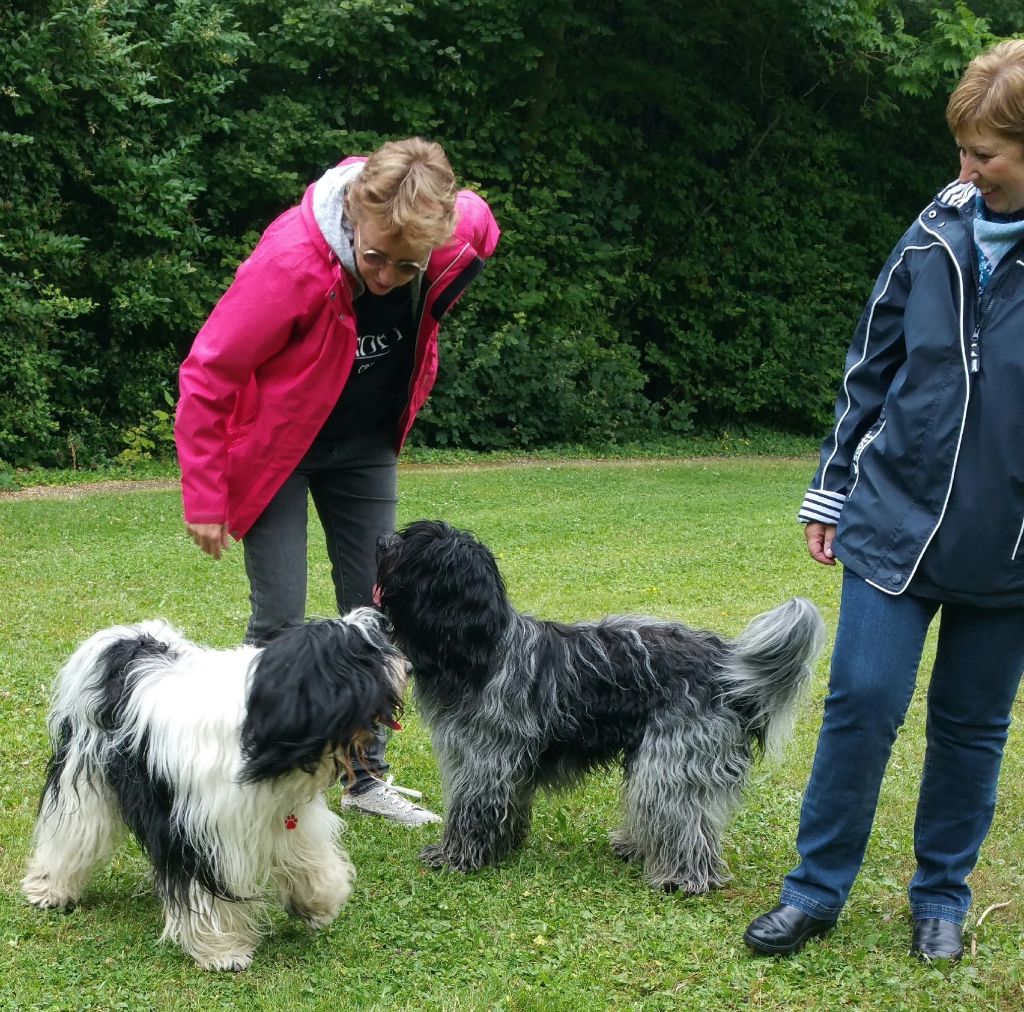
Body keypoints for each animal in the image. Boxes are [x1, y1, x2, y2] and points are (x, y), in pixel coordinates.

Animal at [22, 610, 405, 971]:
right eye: (369, 655)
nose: (408, 663)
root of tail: (130, 642)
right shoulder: (202, 831)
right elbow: (209, 893)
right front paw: (223, 950)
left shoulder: (286, 814)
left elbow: (309, 856)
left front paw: (319, 902)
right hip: (83, 774)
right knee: (73, 830)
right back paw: (50, 887)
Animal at [376, 522, 823, 893]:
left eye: (412, 548)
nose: (381, 541)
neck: (483, 649)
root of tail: (726, 663)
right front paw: (505, 846)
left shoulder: (483, 758)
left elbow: (471, 809)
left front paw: (456, 856)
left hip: (673, 761)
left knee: (684, 820)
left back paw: (683, 878)